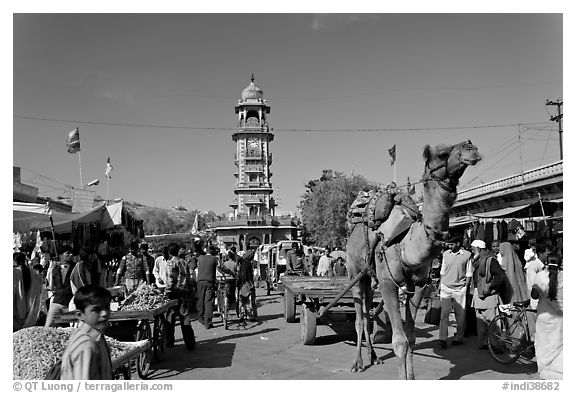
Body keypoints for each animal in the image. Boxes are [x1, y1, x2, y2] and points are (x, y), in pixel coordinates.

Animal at [346, 139, 482, 378]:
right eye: (442, 154)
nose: (470, 147)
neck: (405, 244)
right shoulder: (388, 283)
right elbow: (399, 342)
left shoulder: (418, 285)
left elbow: (411, 338)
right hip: (355, 271)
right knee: (359, 318)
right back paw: (358, 363)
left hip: (371, 277)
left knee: (368, 311)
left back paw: (374, 357)